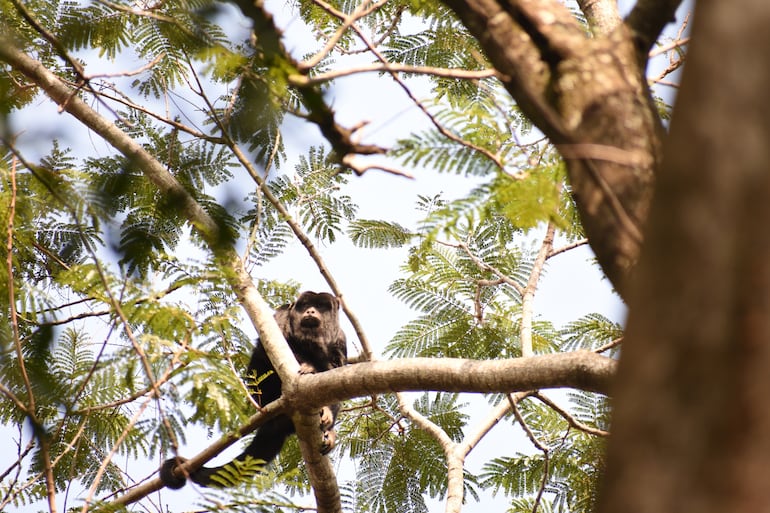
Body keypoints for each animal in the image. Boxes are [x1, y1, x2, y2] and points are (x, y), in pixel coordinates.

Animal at [162, 292, 348, 488]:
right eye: (305, 305)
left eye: (320, 306)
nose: (310, 311)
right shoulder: (281, 316)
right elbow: (266, 350)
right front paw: (309, 366)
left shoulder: (340, 339)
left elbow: (337, 369)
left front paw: (328, 412)